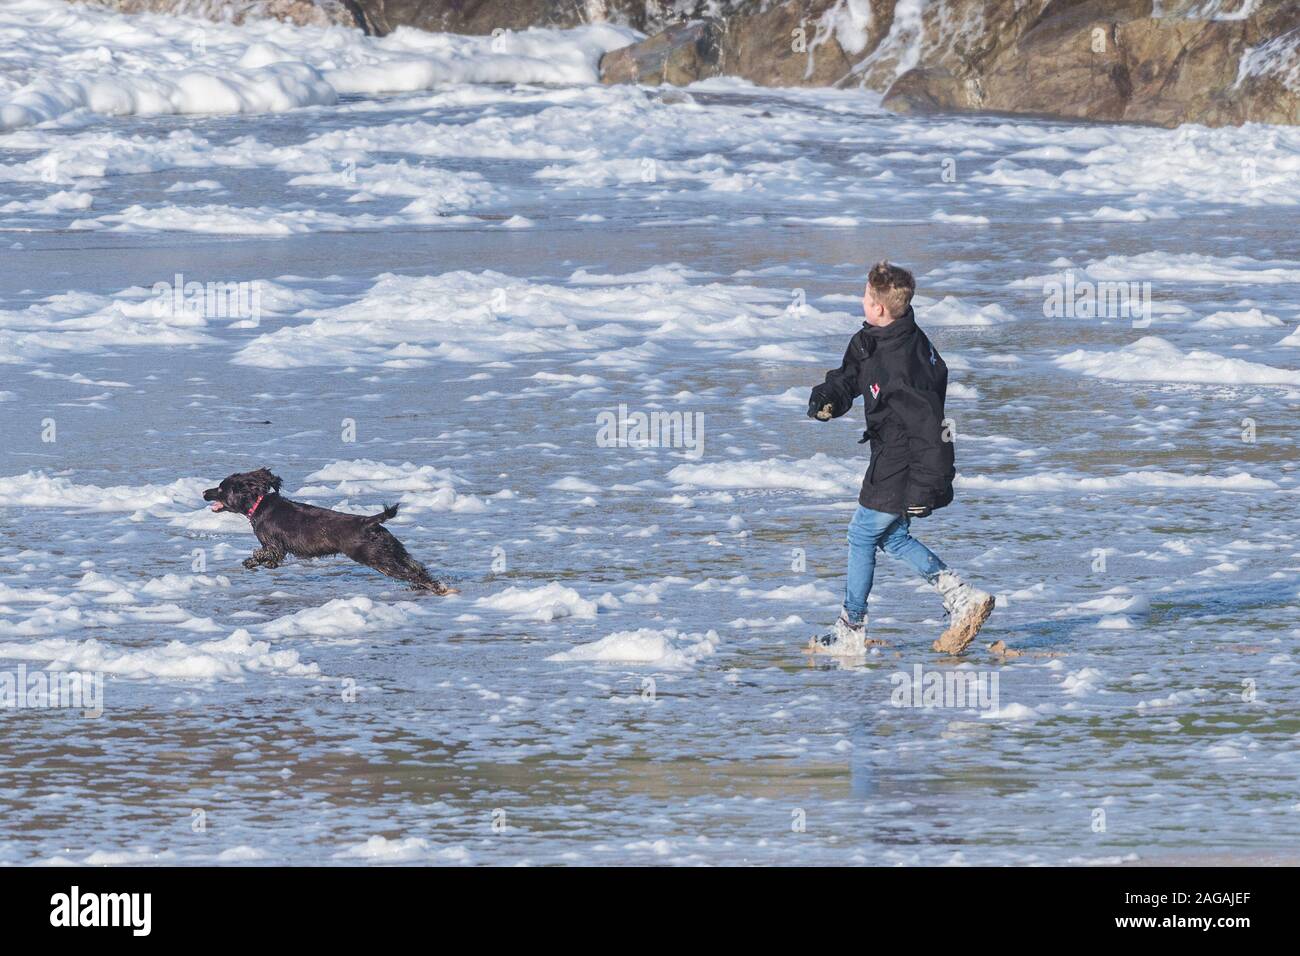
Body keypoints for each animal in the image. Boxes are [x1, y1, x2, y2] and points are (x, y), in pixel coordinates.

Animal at [197, 468, 452, 595]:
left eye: (221, 489)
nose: (203, 492)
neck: (258, 504)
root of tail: (369, 522)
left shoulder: (273, 544)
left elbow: (265, 555)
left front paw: (252, 562)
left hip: (376, 557)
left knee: (411, 573)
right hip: (393, 549)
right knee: (417, 567)